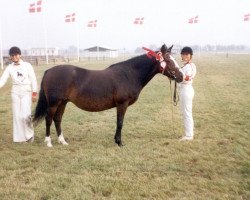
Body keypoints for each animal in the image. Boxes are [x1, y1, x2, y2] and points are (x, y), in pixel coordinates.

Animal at [33, 44, 183, 147]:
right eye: (168, 60)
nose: (181, 76)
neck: (129, 74)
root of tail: (49, 71)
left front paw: (117, 140)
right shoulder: (122, 104)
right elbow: (120, 122)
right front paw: (119, 142)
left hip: (63, 102)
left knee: (57, 119)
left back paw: (62, 141)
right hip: (54, 103)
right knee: (49, 119)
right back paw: (48, 142)